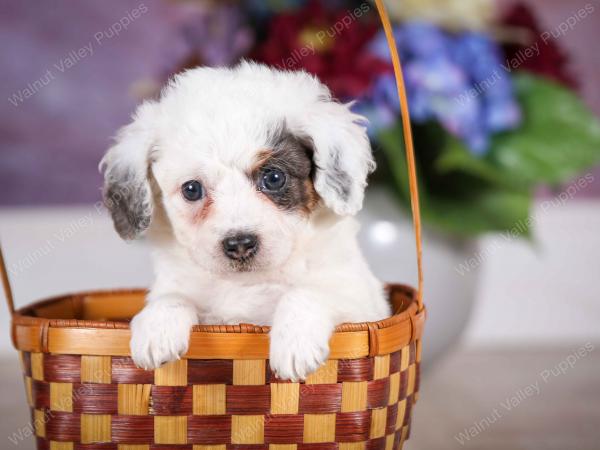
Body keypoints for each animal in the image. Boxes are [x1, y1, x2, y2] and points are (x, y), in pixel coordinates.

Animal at [101, 61, 392, 382]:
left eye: (274, 178)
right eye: (192, 189)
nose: (240, 244)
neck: (246, 284)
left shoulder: (360, 302)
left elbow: (306, 292)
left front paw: (295, 344)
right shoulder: (177, 286)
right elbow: (172, 297)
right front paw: (157, 329)